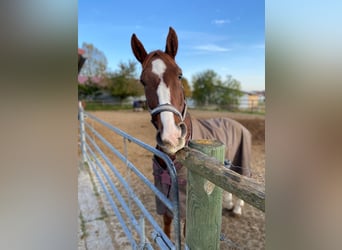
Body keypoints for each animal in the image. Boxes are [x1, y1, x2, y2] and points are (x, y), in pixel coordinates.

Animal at [131, 26, 251, 238]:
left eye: (179, 75)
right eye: (143, 81)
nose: (172, 137)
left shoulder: (189, 207)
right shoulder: (165, 198)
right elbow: (167, 228)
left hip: (240, 160)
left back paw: (236, 209)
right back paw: (229, 204)